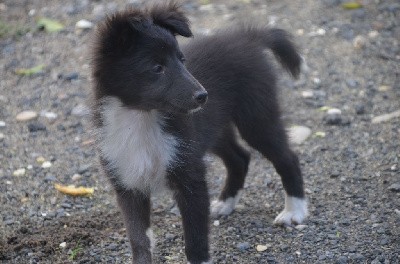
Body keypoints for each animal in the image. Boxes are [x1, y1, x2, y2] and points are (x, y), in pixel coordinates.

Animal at [91, 2, 306, 264]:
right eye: (156, 68)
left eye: (182, 60)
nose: (203, 96)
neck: (142, 118)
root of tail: (248, 38)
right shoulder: (127, 182)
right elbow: (139, 239)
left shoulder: (190, 176)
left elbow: (195, 238)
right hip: (213, 129)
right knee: (239, 157)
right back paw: (225, 203)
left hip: (256, 118)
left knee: (287, 158)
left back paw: (294, 211)